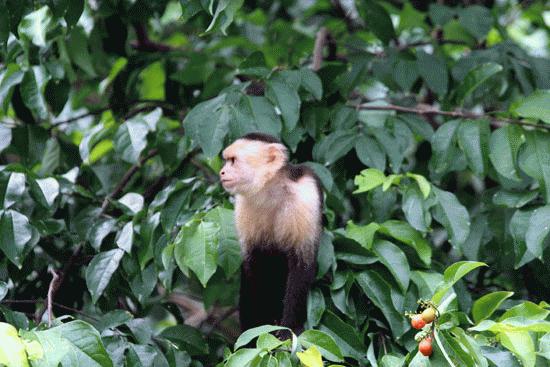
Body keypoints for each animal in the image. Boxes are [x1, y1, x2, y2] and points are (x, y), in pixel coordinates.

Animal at [220, 134, 324, 334]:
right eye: (226, 161)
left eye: (233, 161)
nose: (221, 172)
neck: (271, 190)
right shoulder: (244, 204)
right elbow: (252, 265)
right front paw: (256, 330)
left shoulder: (305, 195)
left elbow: (302, 263)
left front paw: (288, 330)